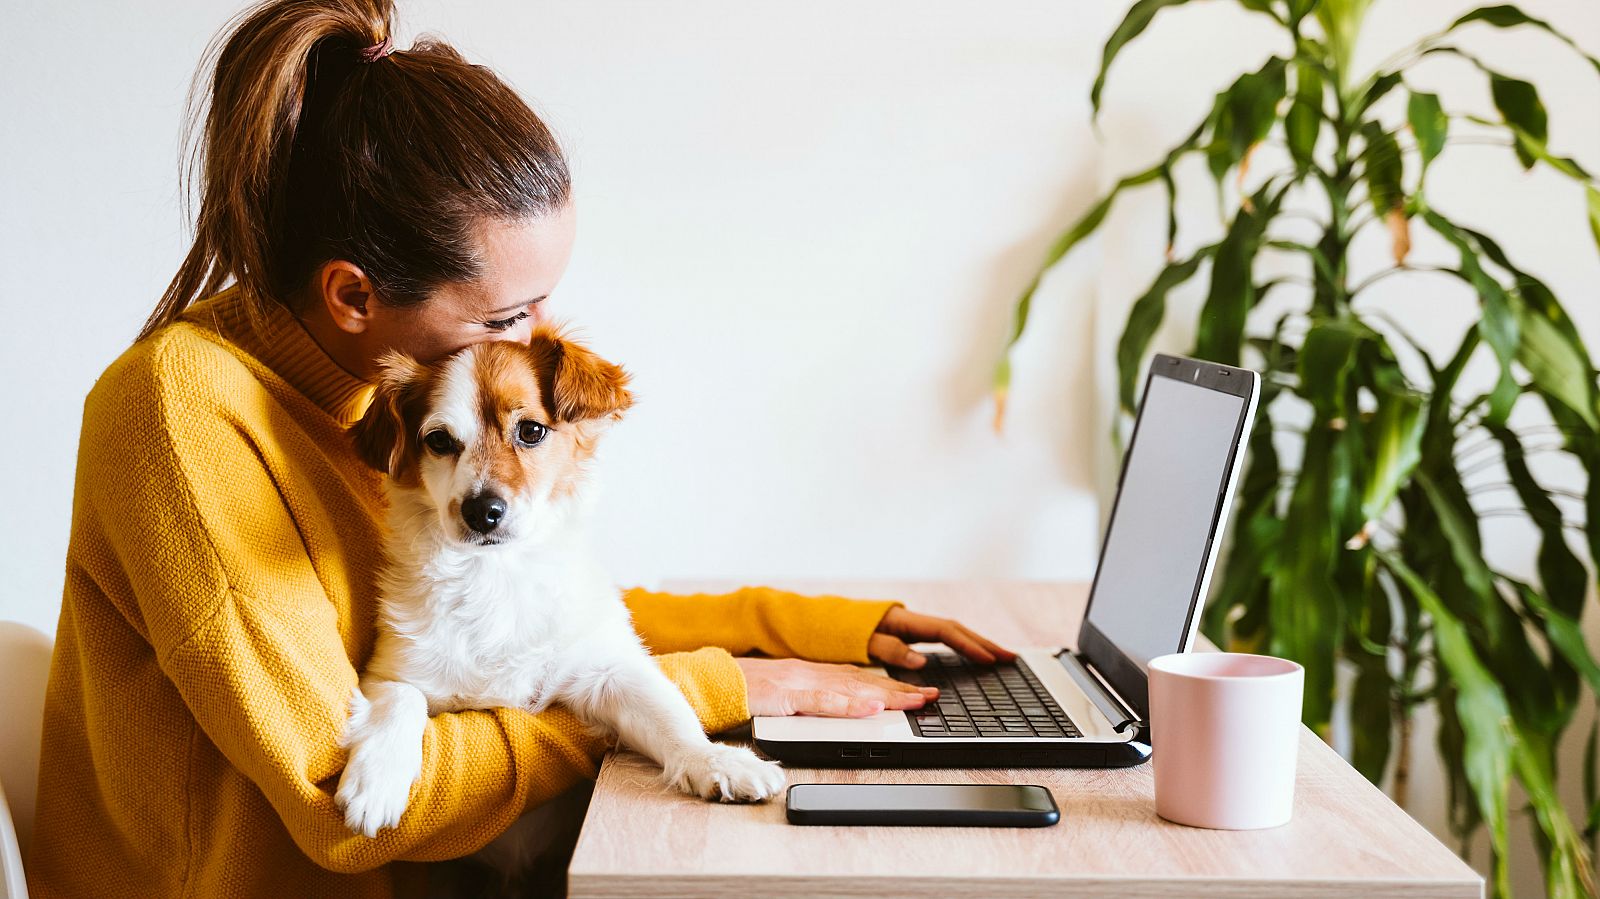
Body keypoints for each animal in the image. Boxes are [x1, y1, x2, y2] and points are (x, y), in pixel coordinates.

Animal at [334, 323, 784, 838]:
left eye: (531, 430)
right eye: (440, 441)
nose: (482, 512)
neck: (496, 576)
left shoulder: (608, 671)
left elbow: (670, 714)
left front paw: (716, 761)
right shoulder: (390, 671)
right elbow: (399, 702)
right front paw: (377, 779)